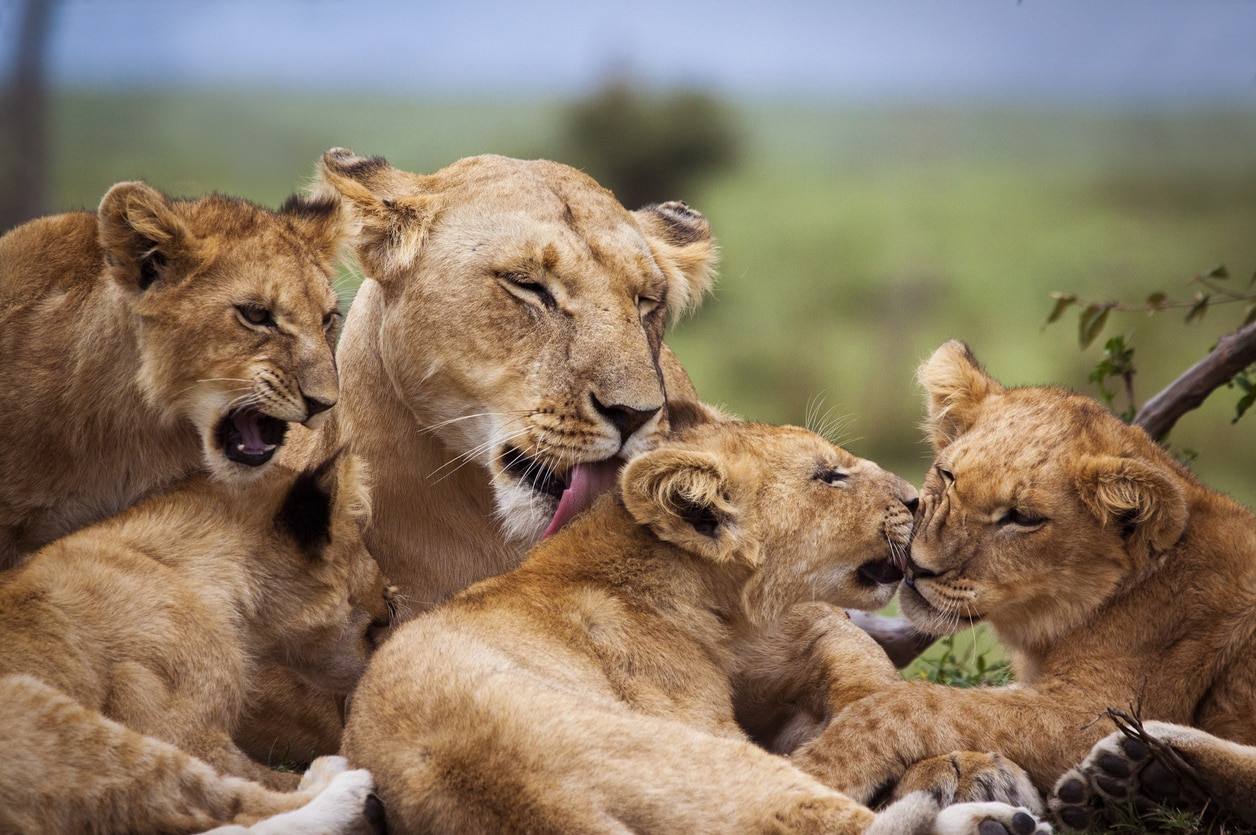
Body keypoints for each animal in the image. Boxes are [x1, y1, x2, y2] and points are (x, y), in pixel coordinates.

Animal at [0, 451, 395, 834]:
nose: (393, 590)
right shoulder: (174, 728)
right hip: (42, 703)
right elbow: (257, 783)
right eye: (365, 549)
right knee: (232, 806)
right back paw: (343, 786)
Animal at [339, 420, 1049, 835]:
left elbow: (856, 665)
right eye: (828, 475)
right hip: (699, 754)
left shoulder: (793, 634)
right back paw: (995, 820)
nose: (915, 500)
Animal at [779, 340, 1256, 832]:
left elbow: (913, 704)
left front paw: (820, 768)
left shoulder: (1096, 708)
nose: (917, 565)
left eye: (1022, 518)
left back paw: (1145, 767)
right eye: (948, 476)